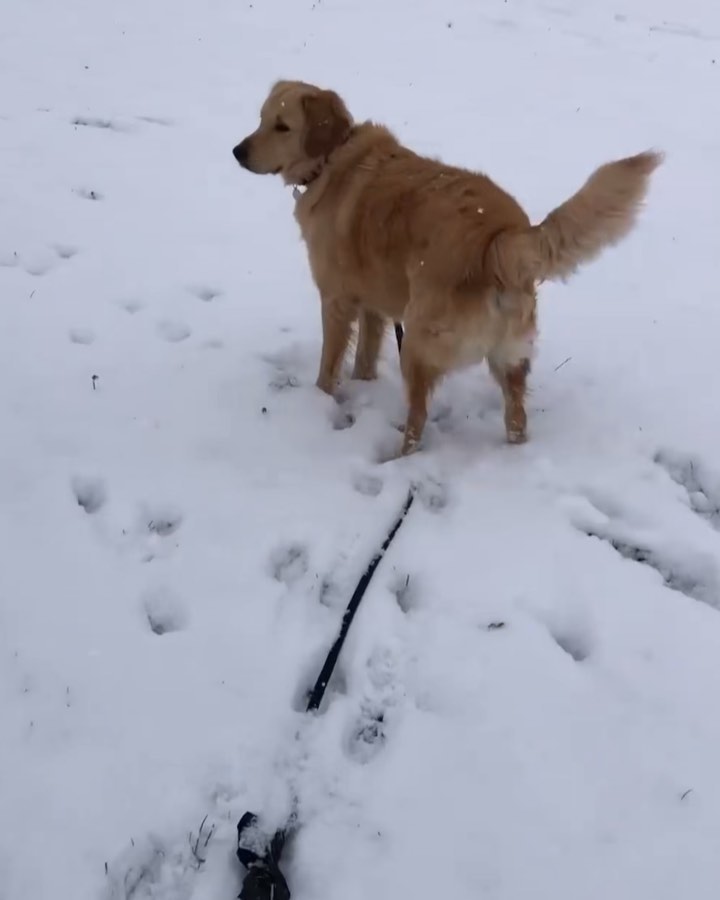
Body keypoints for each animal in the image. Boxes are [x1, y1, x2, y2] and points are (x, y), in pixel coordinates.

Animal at [233, 77, 660, 454]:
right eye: (261, 118)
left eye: (283, 126)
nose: (237, 151)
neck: (333, 156)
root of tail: (500, 236)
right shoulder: (374, 305)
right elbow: (365, 360)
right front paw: (363, 385)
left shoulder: (337, 300)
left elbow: (329, 365)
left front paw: (318, 400)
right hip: (508, 356)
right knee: (517, 419)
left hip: (418, 342)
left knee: (418, 419)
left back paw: (399, 456)